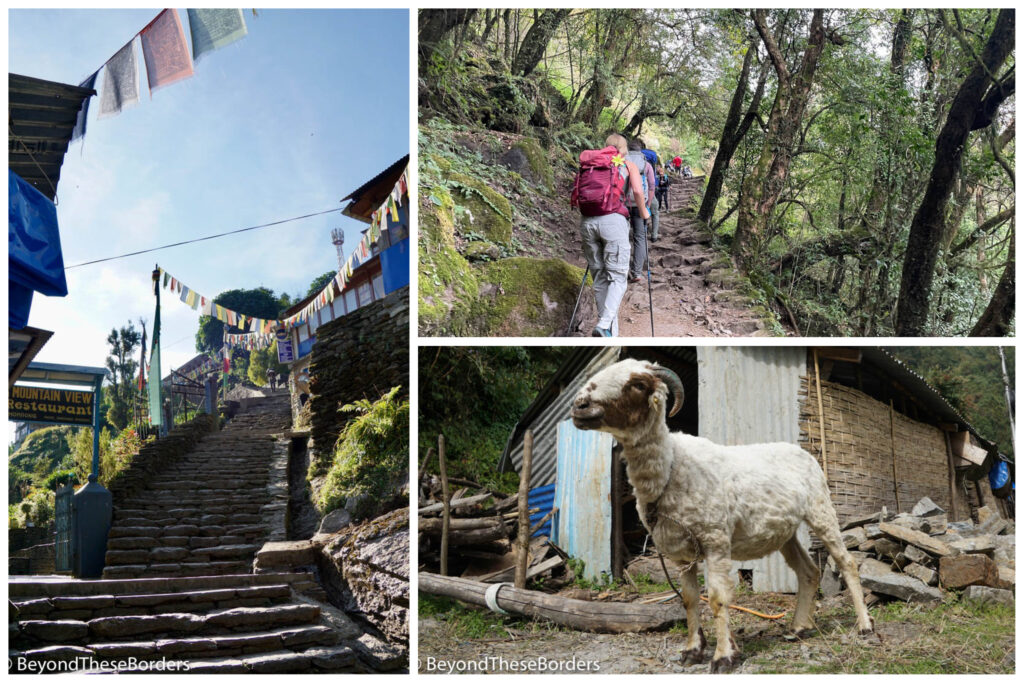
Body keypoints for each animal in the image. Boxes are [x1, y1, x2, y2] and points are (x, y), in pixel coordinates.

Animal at [569, 358, 872, 671]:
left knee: (847, 562)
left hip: (821, 508)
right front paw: (692, 651)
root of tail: (802, 450)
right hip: (784, 531)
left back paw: (864, 626)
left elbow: (717, 599)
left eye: (638, 384)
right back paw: (799, 627)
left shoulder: (715, 541)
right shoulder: (680, 553)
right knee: (809, 571)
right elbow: (689, 600)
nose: (579, 406)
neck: (671, 467)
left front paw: (723, 656)